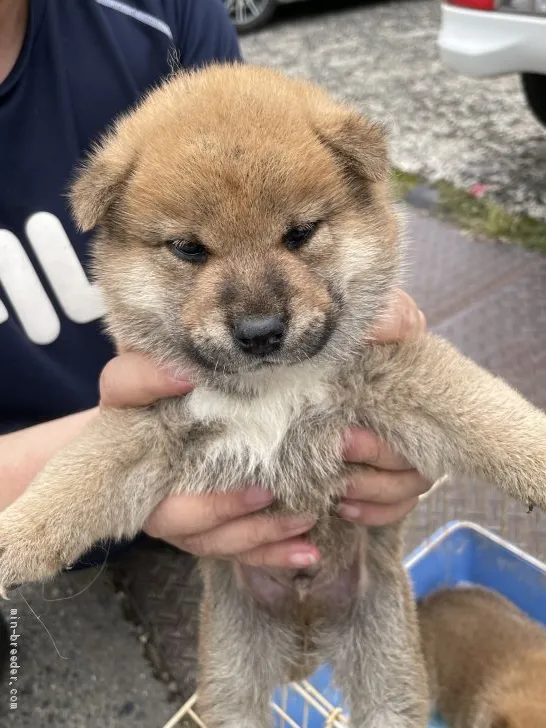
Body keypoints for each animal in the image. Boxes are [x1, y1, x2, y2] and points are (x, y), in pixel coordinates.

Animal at [1, 64, 544, 728]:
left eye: (300, 233)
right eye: (189, 248)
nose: (260, 331)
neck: (271, 391)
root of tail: (308, 639)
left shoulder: (397, 377)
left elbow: (492, 415)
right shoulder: (145, 428)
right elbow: (68, 484)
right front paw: (12, 541)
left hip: (386, 658)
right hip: (232, 667)